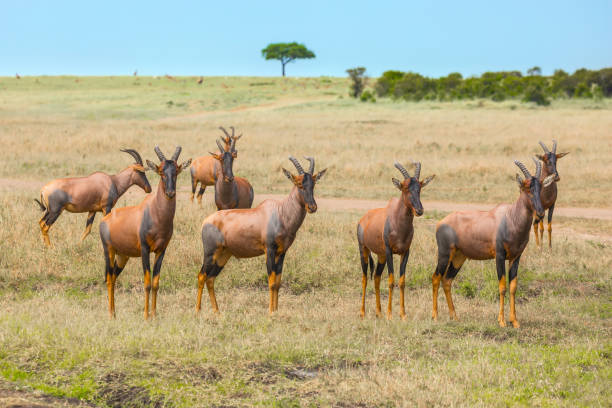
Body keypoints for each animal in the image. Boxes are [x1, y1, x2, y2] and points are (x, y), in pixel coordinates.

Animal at [98, 146, 191, 318]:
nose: (170, 193)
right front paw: (146, 316)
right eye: (161, 172)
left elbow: (155, 283)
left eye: (176, 171)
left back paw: (115, 313)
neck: (155, 212)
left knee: (113, 277)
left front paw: (154, 314)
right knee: (108, 278)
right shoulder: (145, 250)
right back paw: (110, 314)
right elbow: (147, 283)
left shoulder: (161, 250)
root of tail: (105, 219)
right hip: (109, 251)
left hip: (123, 256)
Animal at [197, 155, 328, 312]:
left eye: (313, 184)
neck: (280, 212)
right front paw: (271, 312)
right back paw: (197, 311)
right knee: (201, 276)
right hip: (210, 253)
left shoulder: (282, 252)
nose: (312, 207)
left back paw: (217, 312)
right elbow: (271, 282)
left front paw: (276, 311)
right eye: (299, 184)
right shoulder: (269, 250)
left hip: (223, 255)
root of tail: (206, 221)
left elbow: (277, 283)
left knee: (210, 279)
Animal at [356, 162, 438, 318]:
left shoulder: (405, 252)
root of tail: (363, 219)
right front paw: (390, 314)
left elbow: (401, 281)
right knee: (364, 278)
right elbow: (391, 280)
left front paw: (402, 314)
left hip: (381, 255)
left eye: (419, 188)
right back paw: (362, 313)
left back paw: (379, 312)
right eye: (405, 188)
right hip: (364, 250)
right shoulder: (389, 252)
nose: (419, 210)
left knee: (376, 278)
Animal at [430, 159, 556, 328]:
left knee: (447, 281)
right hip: (444, 255)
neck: (510, 217)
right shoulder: (499, 256)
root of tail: (441, 222)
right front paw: (501, 321)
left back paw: (454, 317)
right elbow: (502, 286)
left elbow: (513, 287)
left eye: (541, 187)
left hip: (459, 257)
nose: (541, 213)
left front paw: (515, 321)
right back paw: (435, 316)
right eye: (526, 187)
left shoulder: (516, 257)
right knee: (436, 278)